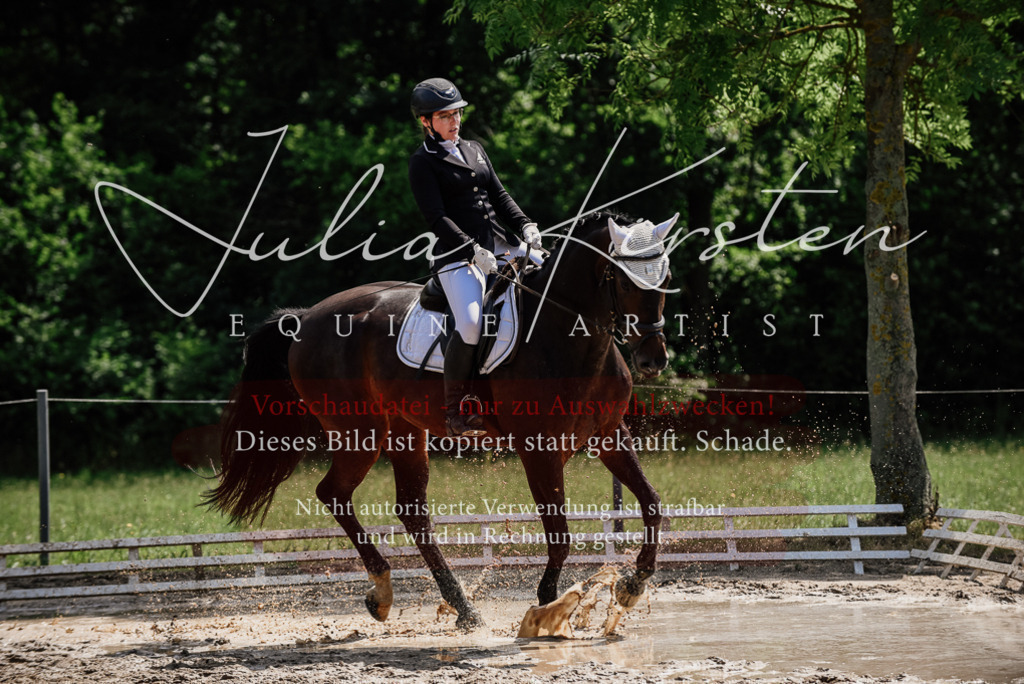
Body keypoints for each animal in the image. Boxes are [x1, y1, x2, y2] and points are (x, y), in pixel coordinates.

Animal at [204, 210, 677, 631]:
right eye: (626, 280)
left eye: (665, 278)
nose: (653, 359)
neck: (570, 334)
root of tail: (306, 318)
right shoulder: (539, 449)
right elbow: (559, 531)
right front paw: (548, 605)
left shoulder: (609, 435)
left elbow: (653, 503)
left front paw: (632, 585)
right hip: (360, 431)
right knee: (334, 493)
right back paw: (385, 591)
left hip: (404, 430)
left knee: (411, 510)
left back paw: (460, 608)